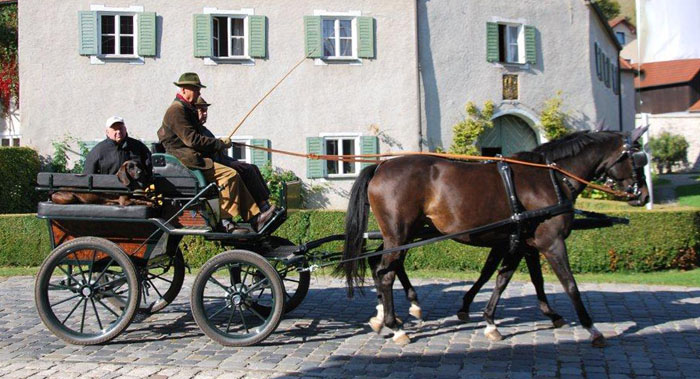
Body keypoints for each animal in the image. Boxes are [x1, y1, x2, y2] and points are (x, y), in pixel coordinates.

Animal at [342, 130, 648, 348]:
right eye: (638, 158)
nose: (643, 195)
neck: (549, 178)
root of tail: (380, 168)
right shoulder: (551, 243)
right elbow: (569, 284)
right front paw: (591, 328)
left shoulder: (521, 243)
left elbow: (507, 278)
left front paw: (492, 320)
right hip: (401, 233)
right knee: (385, 273)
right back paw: (396, 326)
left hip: (406, 234)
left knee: (383, 266)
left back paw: (392, 314)